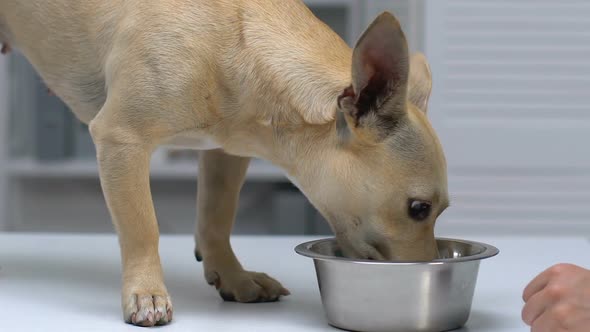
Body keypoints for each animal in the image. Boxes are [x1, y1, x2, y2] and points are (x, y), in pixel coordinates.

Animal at [1, 0, 448, 326]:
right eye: (419, 209)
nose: (425, 267)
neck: (238, 42)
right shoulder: (121, 139)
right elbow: (142, 228)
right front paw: (146, 292)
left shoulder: (225, 154)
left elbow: (217, 216)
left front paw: (233, 275)